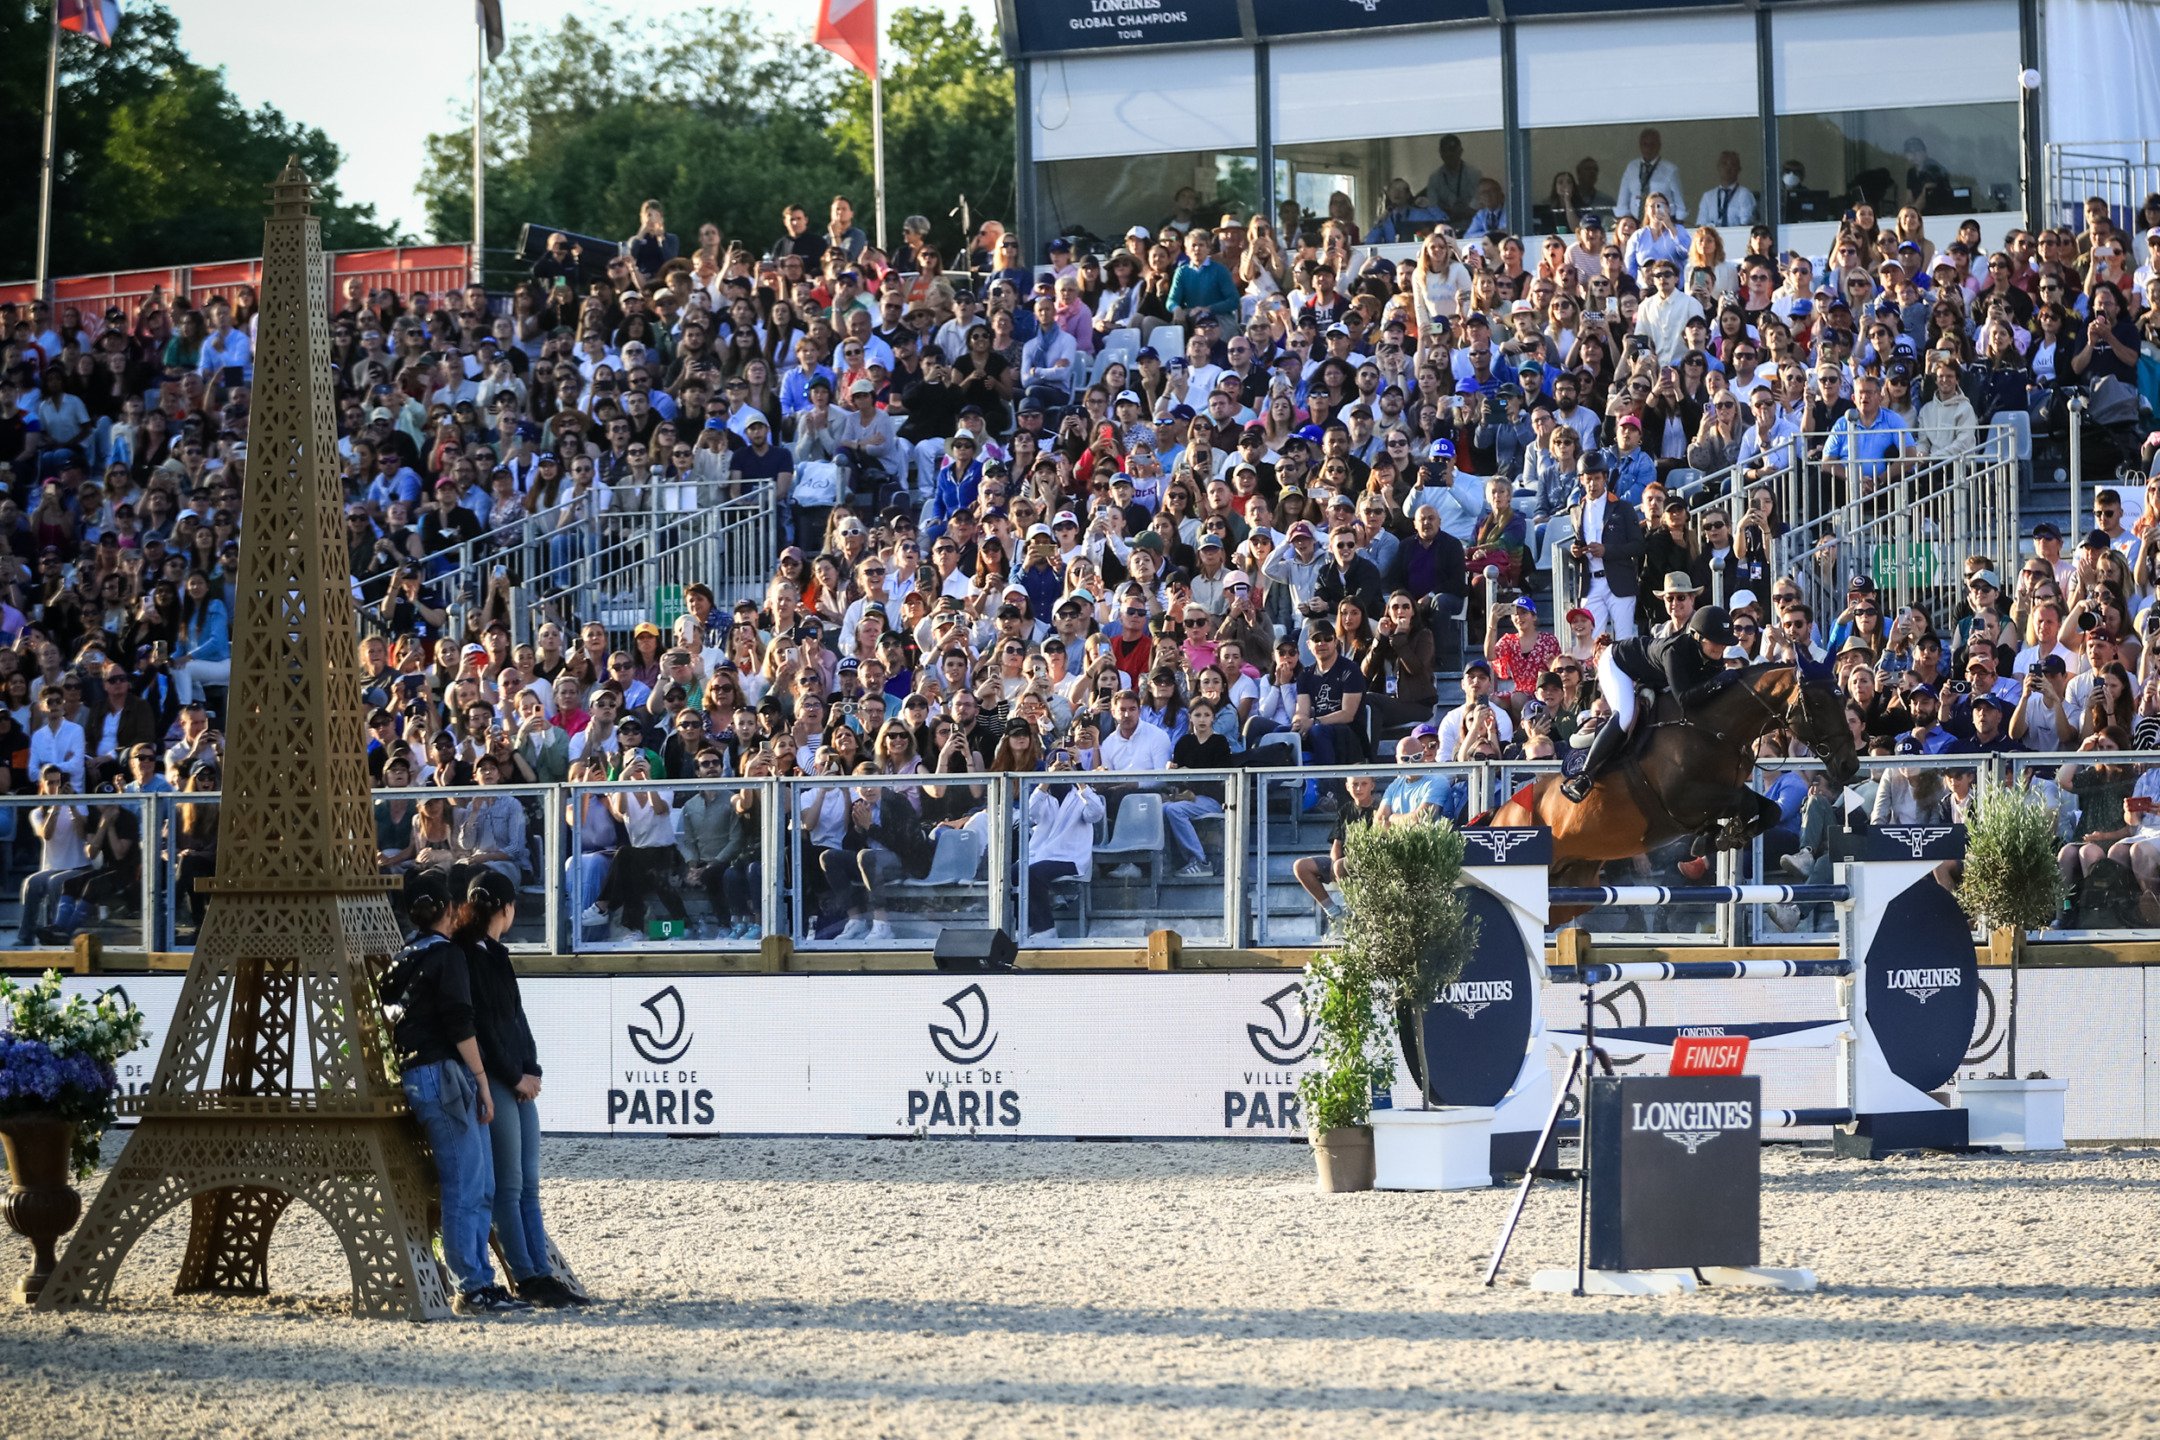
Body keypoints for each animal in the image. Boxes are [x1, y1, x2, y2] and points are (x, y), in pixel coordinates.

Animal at [1494, 660, 1866, 906]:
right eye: (1817, 702)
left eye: (1844, 698)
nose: (1849, 764)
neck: (1712, 726)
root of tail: (1500, 813)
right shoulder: (1683, 800)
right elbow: (1746, 804)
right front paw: (1723, 836)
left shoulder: (1725, 790)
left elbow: (1770, 809)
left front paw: (1719, 838)